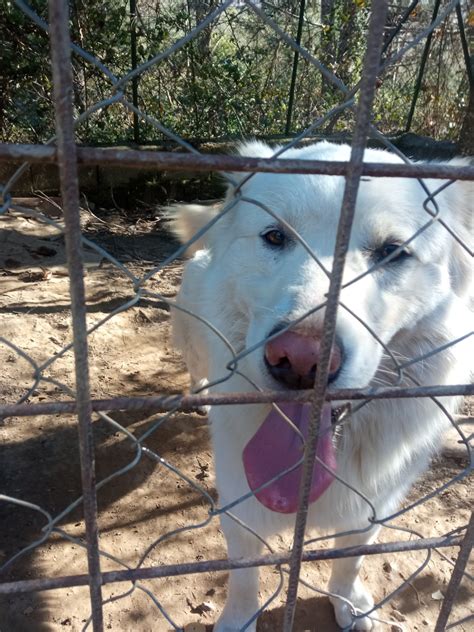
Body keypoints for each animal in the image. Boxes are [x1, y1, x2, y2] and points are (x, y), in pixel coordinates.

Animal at [168, 141, 472, 628]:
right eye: (275, 237)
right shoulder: (239, 506)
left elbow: (349, 561)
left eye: (392, 252)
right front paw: (238, 619)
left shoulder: (372, 506)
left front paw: (348, 603)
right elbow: (243, 580)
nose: (301, 360)